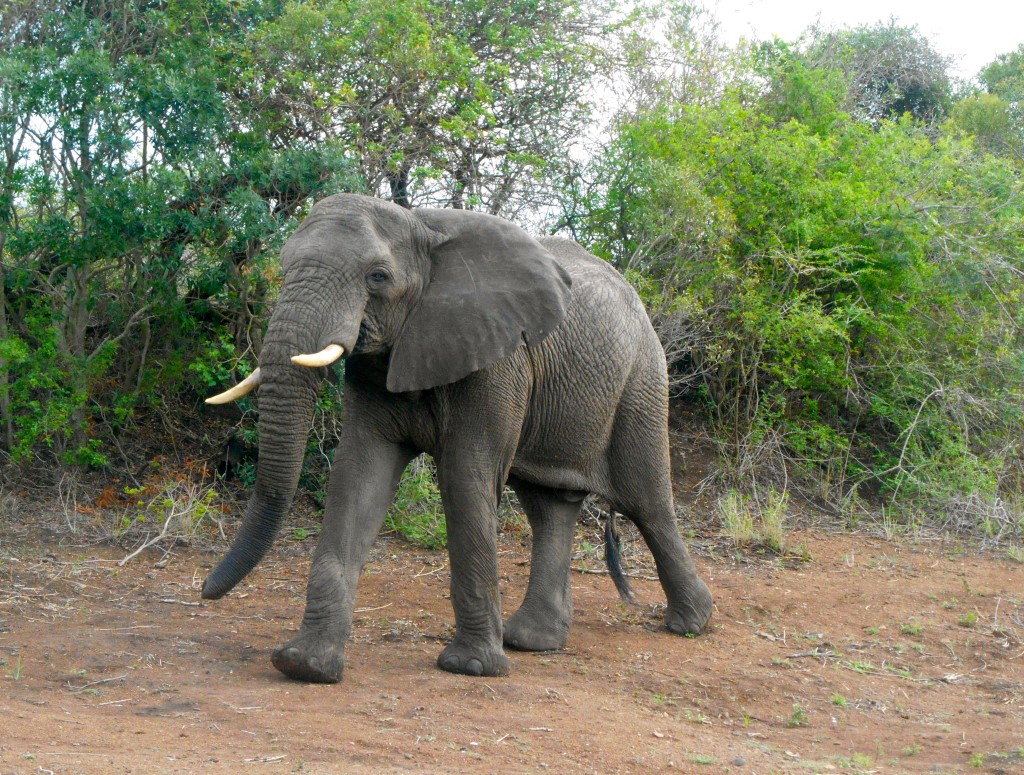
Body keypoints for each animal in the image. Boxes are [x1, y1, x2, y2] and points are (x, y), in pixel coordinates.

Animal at [202, 193, 713, 683]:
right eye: (284, 266)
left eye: (377, 277)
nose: (205, 591)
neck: (420, 229)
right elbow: (359, 477)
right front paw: (303, 665)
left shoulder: (499, 360)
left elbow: (466, 477)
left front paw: (470, 667)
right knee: (549, 507)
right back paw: (531, 639)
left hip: (642, 381)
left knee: (646, 501)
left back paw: (692, 623)